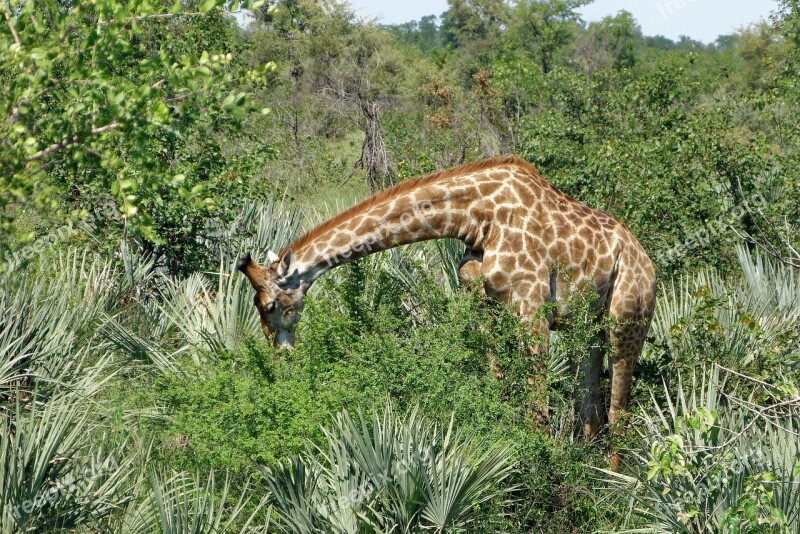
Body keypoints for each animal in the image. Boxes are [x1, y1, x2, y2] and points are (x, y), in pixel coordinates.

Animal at [236, 157, 656, 454]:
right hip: (588, 328)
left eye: (269, 305)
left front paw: (541, 468)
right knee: (590, 407)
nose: (281, 355)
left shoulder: (531, 308)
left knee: (619, 410)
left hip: (627, 317)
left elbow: (537, 404)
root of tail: (648, 261)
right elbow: (499, 387)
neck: (476, 217)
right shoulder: (483, 307)